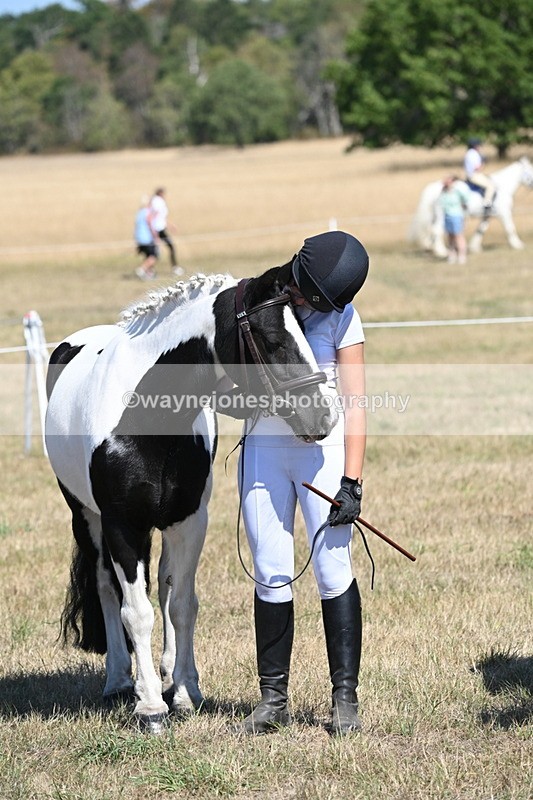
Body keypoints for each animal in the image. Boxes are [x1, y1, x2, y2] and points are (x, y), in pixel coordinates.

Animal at [45, 267, 338, 733]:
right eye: (273, 340)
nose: (323, 415)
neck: (145, 416)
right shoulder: (122, 524)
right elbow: (136, 611)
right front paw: (149, 708)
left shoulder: (189, 521)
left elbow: (181, 604)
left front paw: (183, 692)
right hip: (86, 518)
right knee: (108, 588)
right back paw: (120, 681)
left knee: (164, 584)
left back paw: (163, 673)